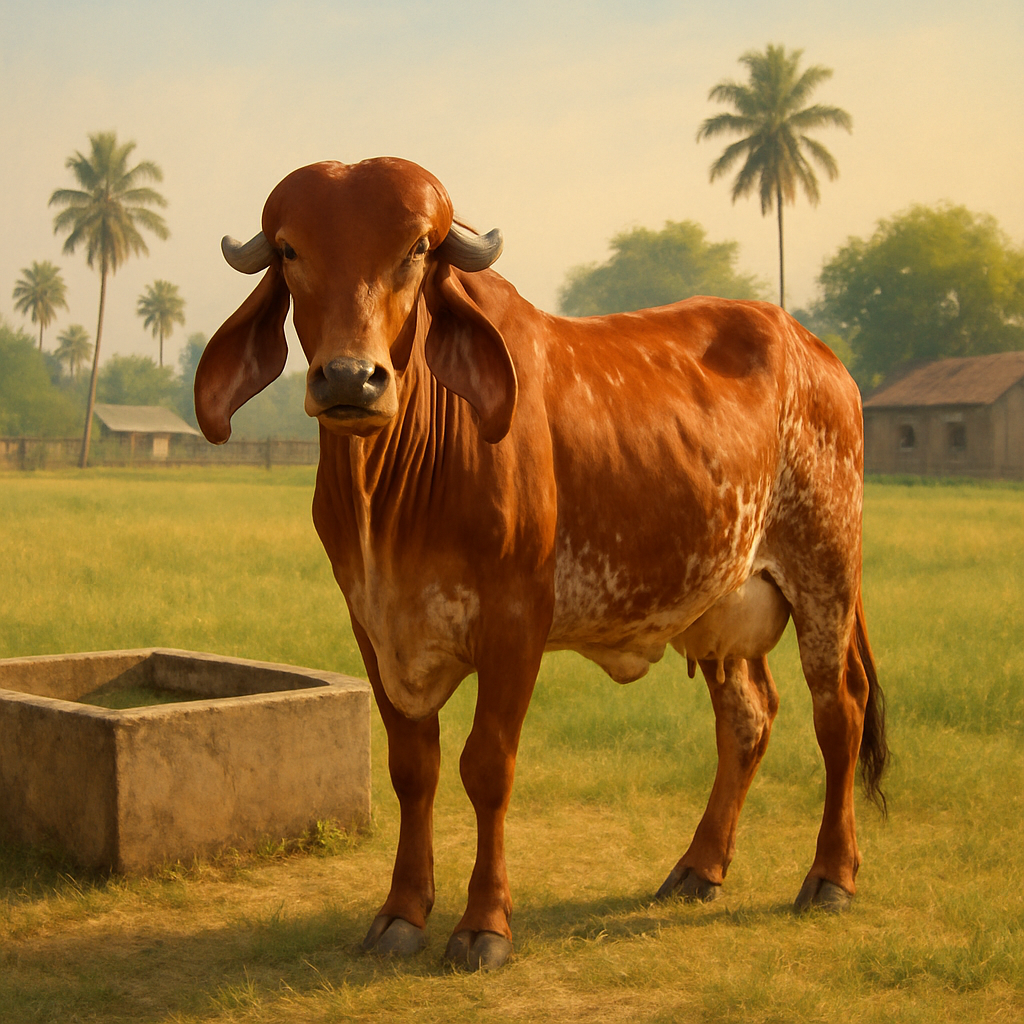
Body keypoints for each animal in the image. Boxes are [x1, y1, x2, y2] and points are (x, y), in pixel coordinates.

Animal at [194, 157, 888, 972]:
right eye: (291, 251)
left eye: (417, 251)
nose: (348, 378)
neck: (392, 491)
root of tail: (819, 353)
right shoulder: (372, 623)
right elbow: (412, 767)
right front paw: (400, 913)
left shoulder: (517, 620)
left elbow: (487, 766)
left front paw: (484, 925)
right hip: (722, 600)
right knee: (748, 718)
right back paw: (698, 867)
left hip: (825, 571)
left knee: (839, 710)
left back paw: (831, 876)